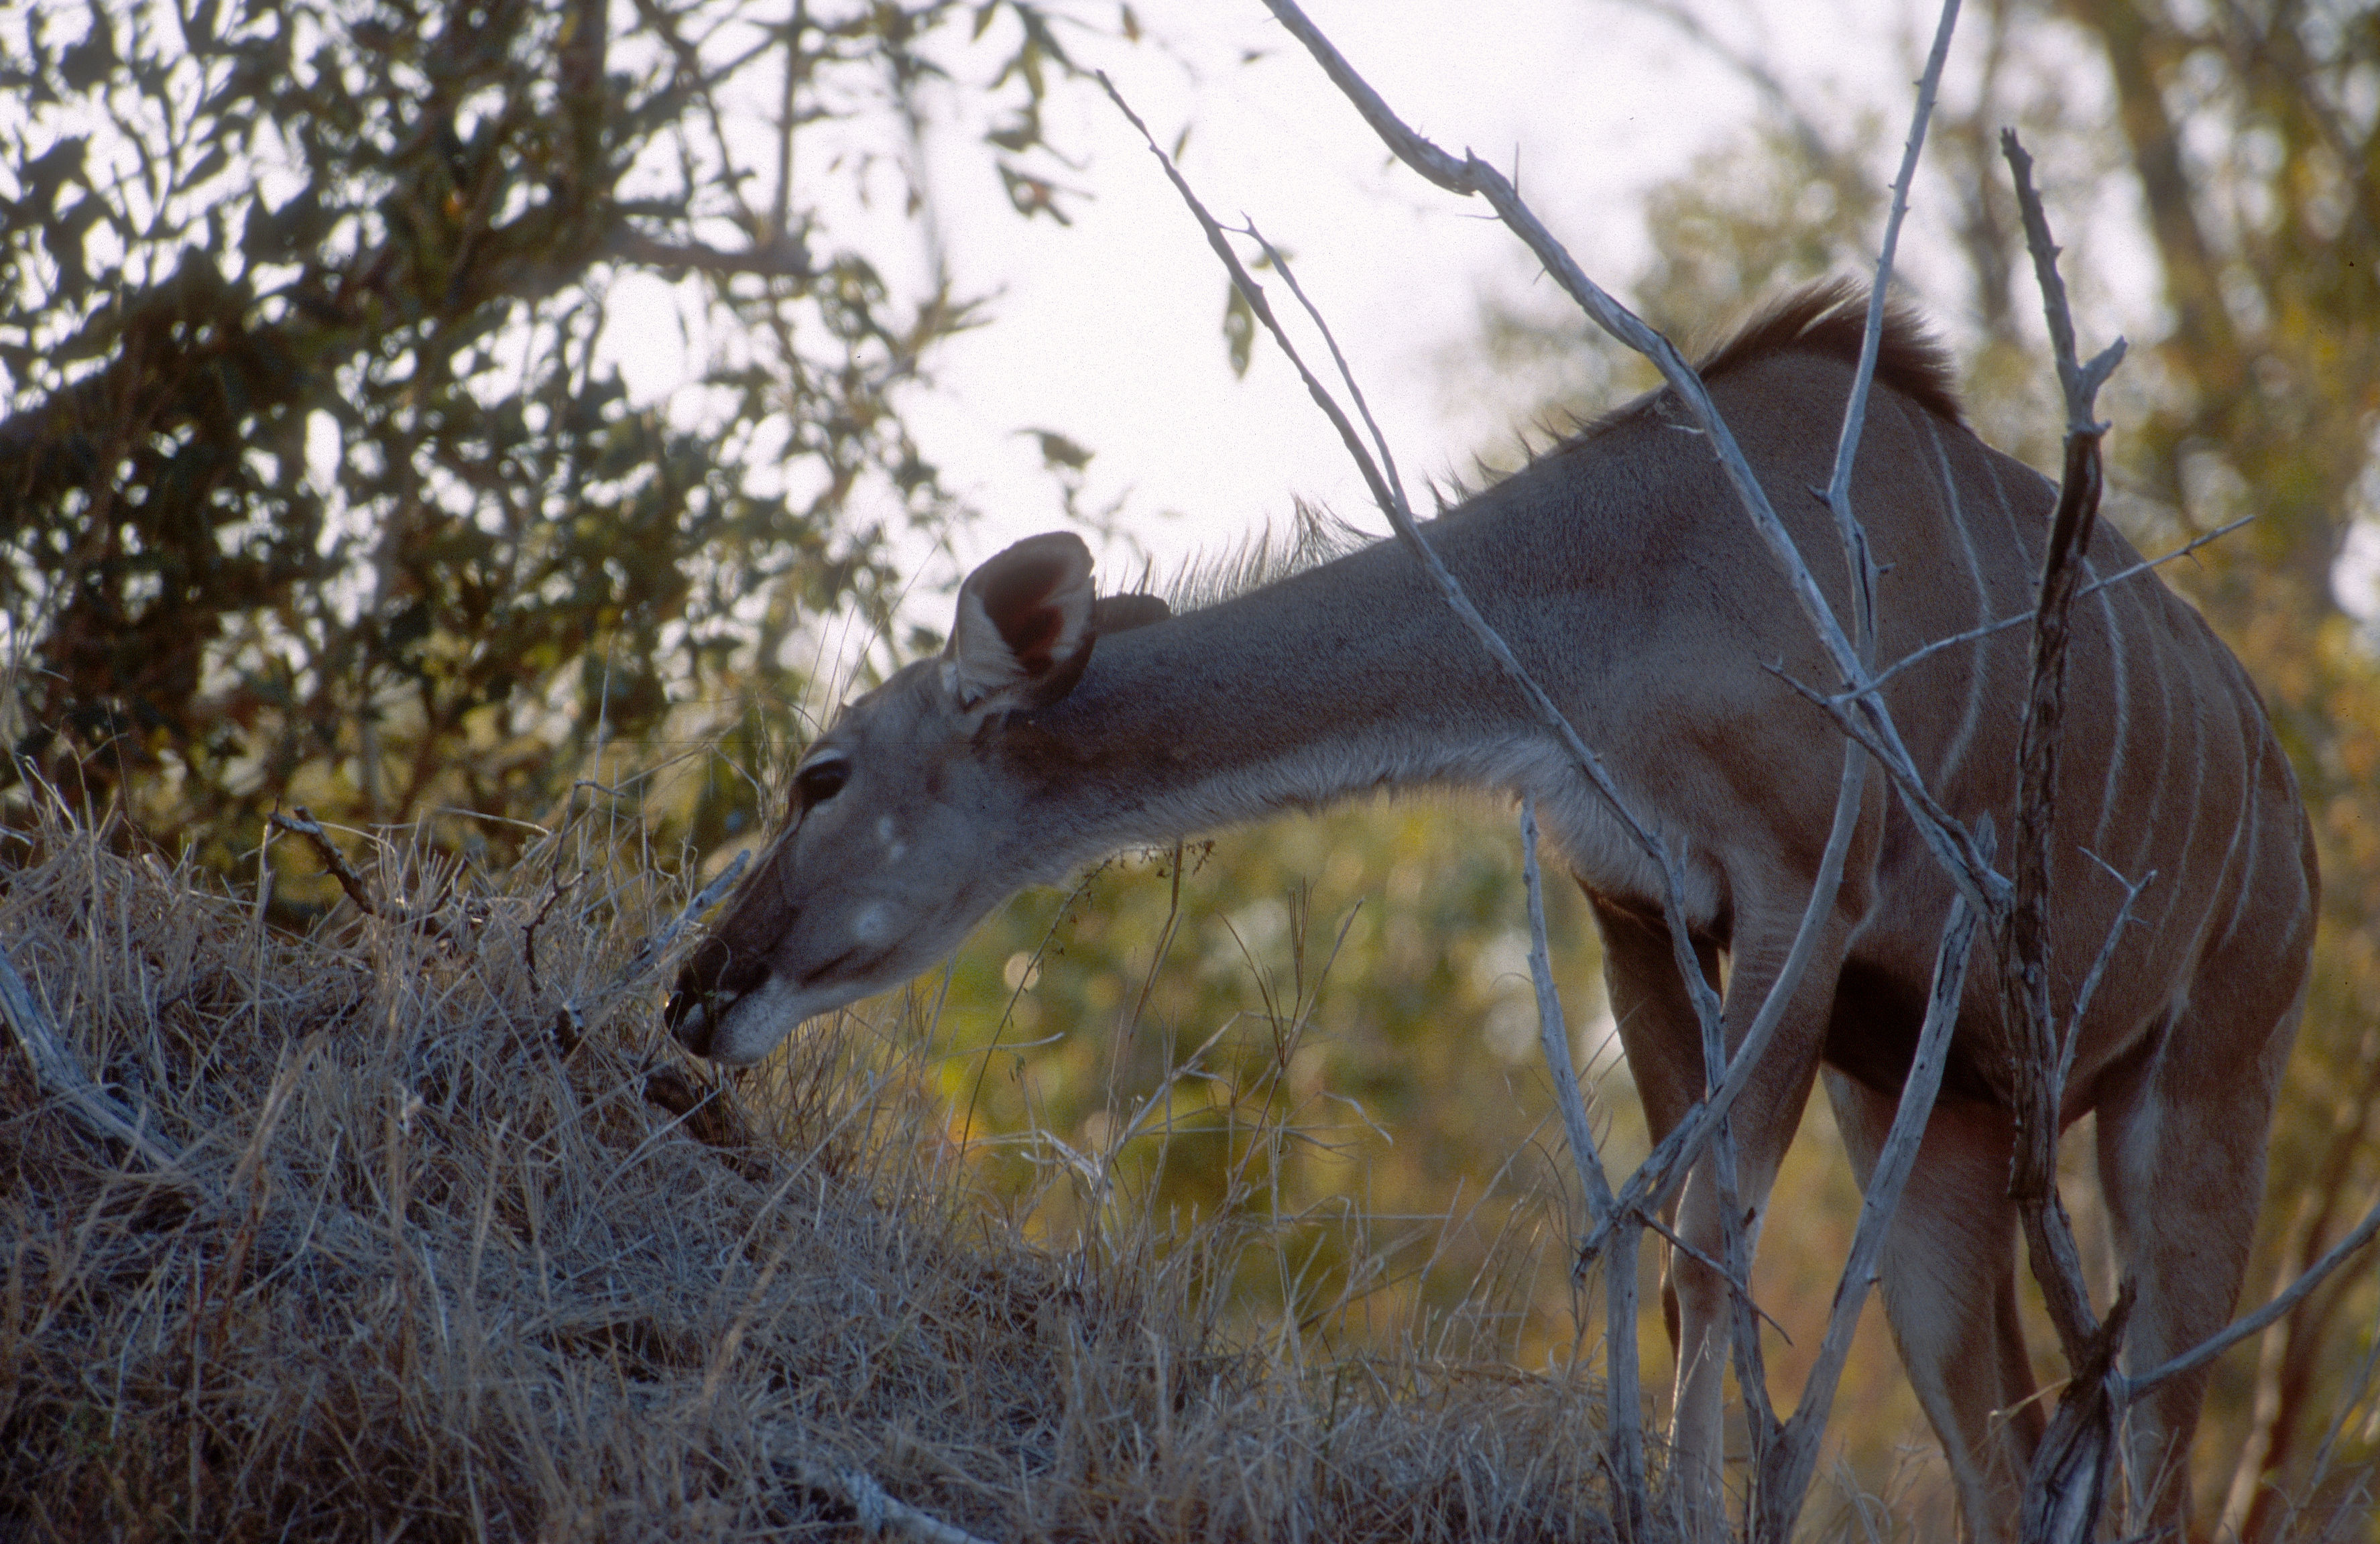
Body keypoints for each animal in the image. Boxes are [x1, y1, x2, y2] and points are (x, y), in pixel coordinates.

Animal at [680, 283, 2313, 1532]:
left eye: (821, 774)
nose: (699, 990)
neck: (1626, 575)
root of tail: (2286, 830)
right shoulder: (1642, 914)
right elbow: (1682, 1266)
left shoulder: (1804, 894)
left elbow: (1707, 1252)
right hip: (1933, 1116)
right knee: (2012, 1437)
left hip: (2195, 1104)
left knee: (2156, 1426)